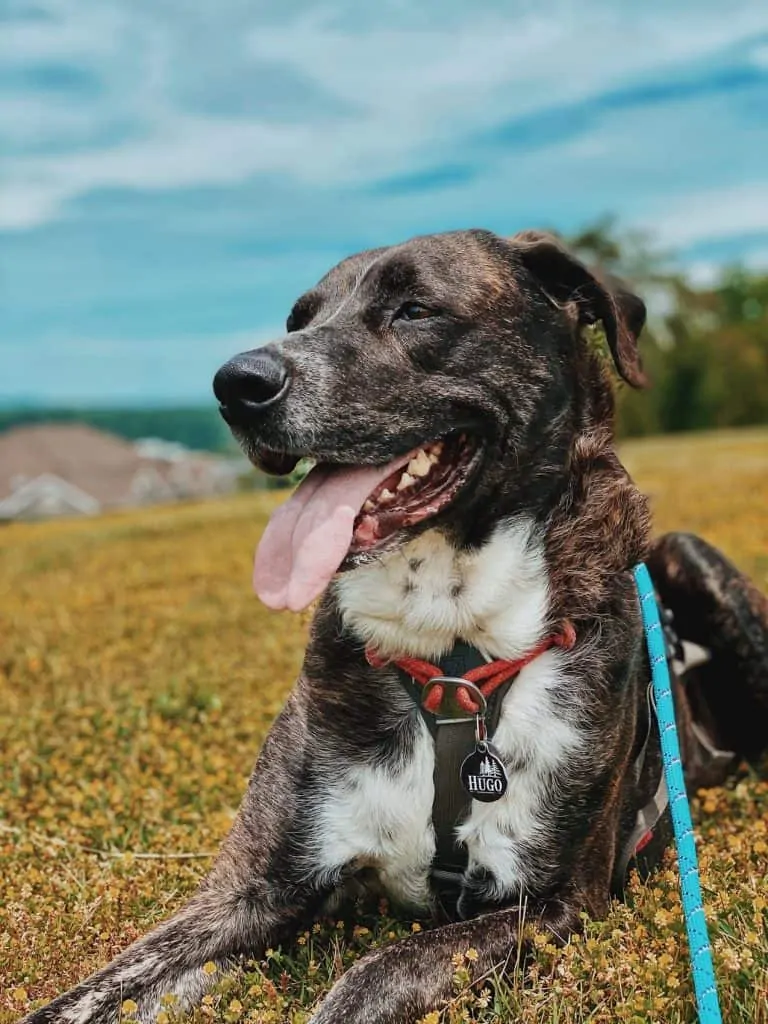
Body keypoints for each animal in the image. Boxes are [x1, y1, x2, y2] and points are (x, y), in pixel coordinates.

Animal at [24, 232, 768, 1024]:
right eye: (298, 320)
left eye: (414, 309)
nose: (235, 385)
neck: (451, 647)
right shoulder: (248, 893)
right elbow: (90, 993)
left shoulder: (553, 902)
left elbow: (373, 974)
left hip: (692, 557)